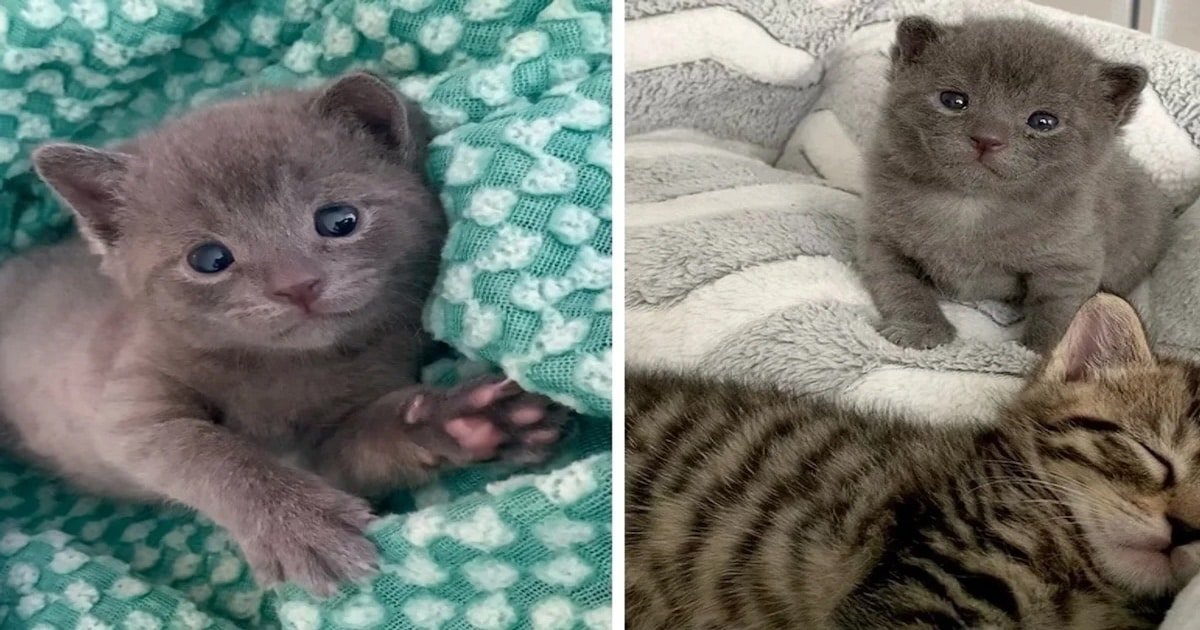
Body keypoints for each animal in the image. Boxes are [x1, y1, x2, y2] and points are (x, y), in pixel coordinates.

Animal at [0, 73, 564, 595]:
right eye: (209, 259)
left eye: (338, 219)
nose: (297, 285)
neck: (288, 368)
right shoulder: (131, 401)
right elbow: (202, 449)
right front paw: (299, 529)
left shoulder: (332, 443)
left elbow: (369, 442)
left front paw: (469, 420)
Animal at [859, 14, 1176, 350]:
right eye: (954, 100)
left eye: (1043, 121)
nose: (987, 138)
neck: (971, 205)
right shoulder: (881, 239)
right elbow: (902, 287)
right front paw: (919, 330)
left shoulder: (1069, 263)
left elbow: (1060, 315)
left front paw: (1040, 352)